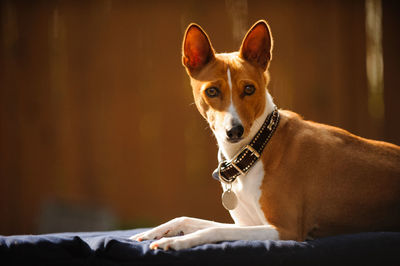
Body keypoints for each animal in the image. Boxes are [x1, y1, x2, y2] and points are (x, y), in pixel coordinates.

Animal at [131, 20, 400, 249]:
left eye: (249, 89)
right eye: (212, 91)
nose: (234, 130)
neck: (257, 148)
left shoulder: (285, 229)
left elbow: (213, 230)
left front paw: (176, 242)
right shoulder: (247, 223)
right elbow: (188, 219)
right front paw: (158, 231)